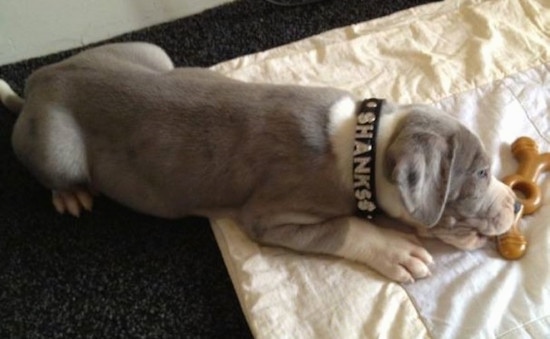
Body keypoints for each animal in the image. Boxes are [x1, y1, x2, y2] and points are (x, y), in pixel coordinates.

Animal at [0, 42, 520, 284]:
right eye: (478, 174)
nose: (517, 205)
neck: (366, 146)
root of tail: (40, 81)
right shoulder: (271, 218)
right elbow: (346, 228)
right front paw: (396, 251)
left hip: (151, 54)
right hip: (57, 147)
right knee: (53, 169)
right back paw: (72, 196)